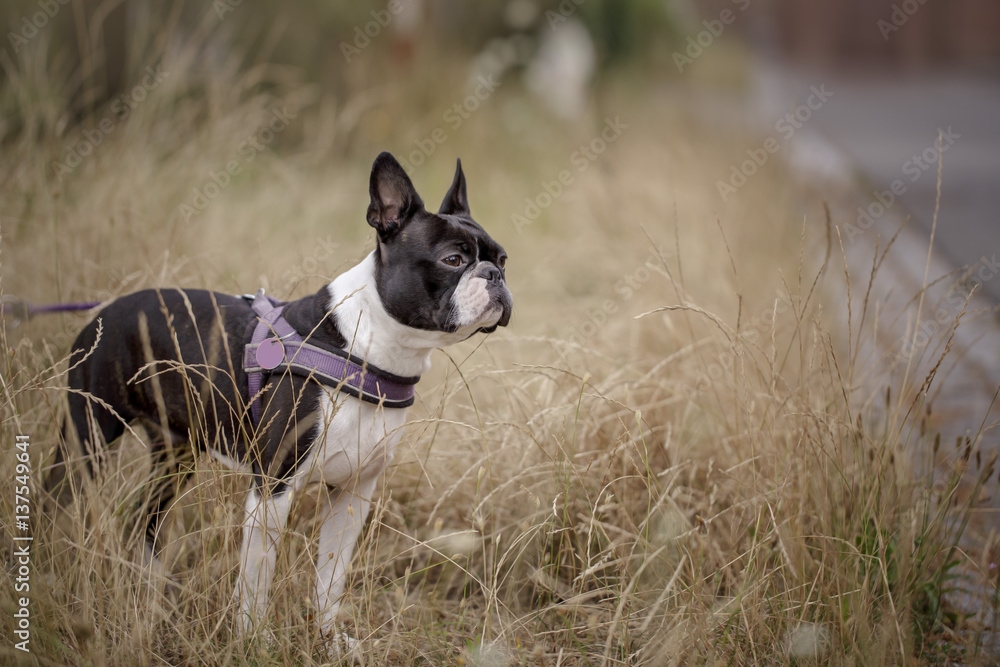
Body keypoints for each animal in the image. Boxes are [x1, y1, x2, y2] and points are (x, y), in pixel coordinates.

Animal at [60, 153, 516, 648]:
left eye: (503, 260)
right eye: (453, 260)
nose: (494, 275)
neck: (366, 350)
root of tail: (104, 310)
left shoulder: (354, 494)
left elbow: (331, 576)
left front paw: (330, 639)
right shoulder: (272, 489)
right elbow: (256, 577)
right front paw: (252, 641)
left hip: (176, 453)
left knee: (145, 517)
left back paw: (153, 588)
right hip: (88, 438)